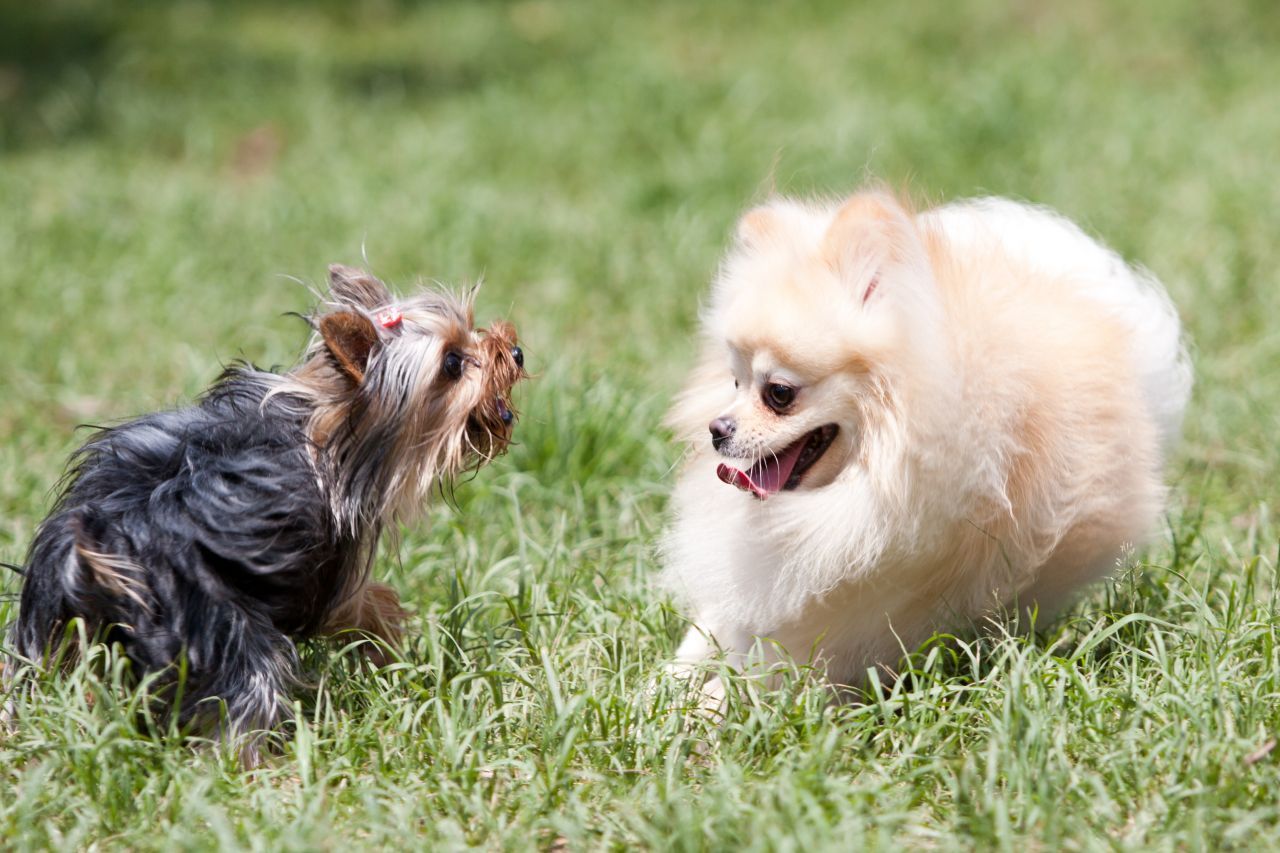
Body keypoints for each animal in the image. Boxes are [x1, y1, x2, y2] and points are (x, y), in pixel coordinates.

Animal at [6, 266, 524, 758]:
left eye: (473, 327)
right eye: (452, 363)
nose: (515, 351)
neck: (326, 415)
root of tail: (104, 547)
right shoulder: (330, 567)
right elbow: (365, 604)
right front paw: (389, 643)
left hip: (54, 633)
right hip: (223, 631)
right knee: (242, 707)